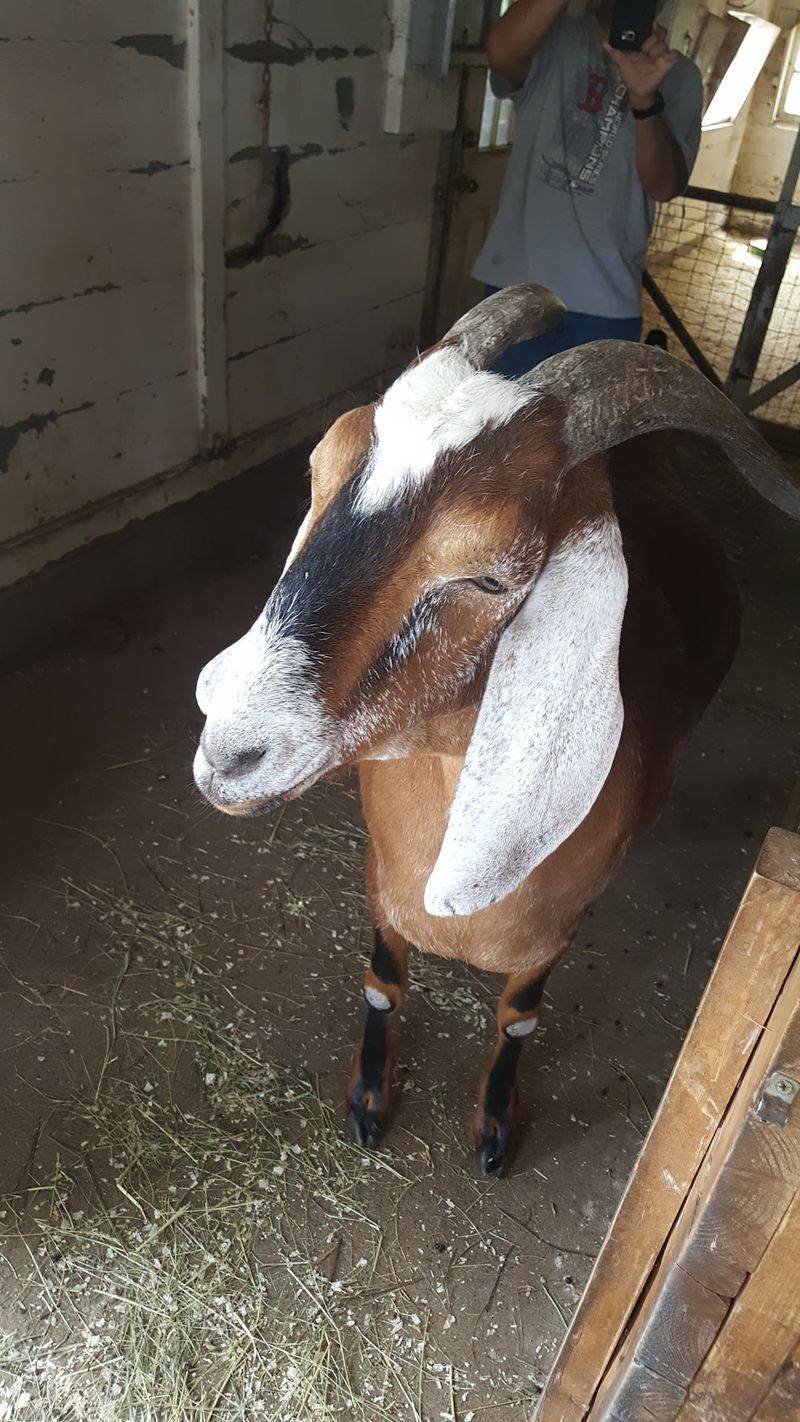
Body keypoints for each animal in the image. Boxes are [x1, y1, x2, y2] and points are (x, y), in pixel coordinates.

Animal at [193, 284, 799, 1176]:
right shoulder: (381, 883)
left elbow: (518, 1018)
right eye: (318, 467)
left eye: (489, 575)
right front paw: (368, 1100)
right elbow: (383, 983)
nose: (230, 749)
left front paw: (494, 1127)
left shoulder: (555, 933)